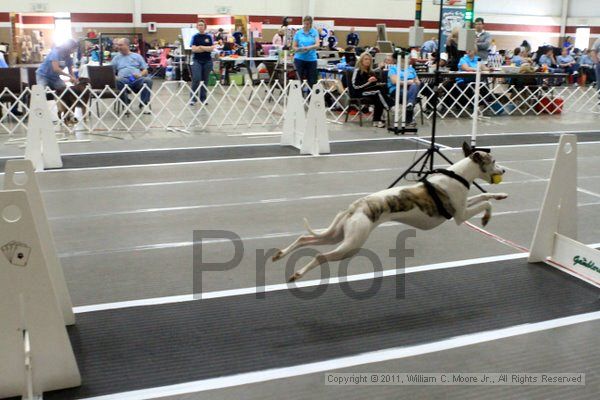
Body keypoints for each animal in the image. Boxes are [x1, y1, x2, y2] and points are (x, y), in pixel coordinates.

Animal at [274, 143, 508, 282]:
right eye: (494, 161)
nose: (504, 171)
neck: (458, 175)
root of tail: (355, 206)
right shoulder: (460, 215)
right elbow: (485, 205)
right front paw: (486, 218)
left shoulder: (464, 206)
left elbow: (486, 197)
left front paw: (501, 195)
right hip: (350, 245)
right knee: (320, 256)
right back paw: (297, 274)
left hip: (337, 236)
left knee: (304, 239)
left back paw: (280, 255)